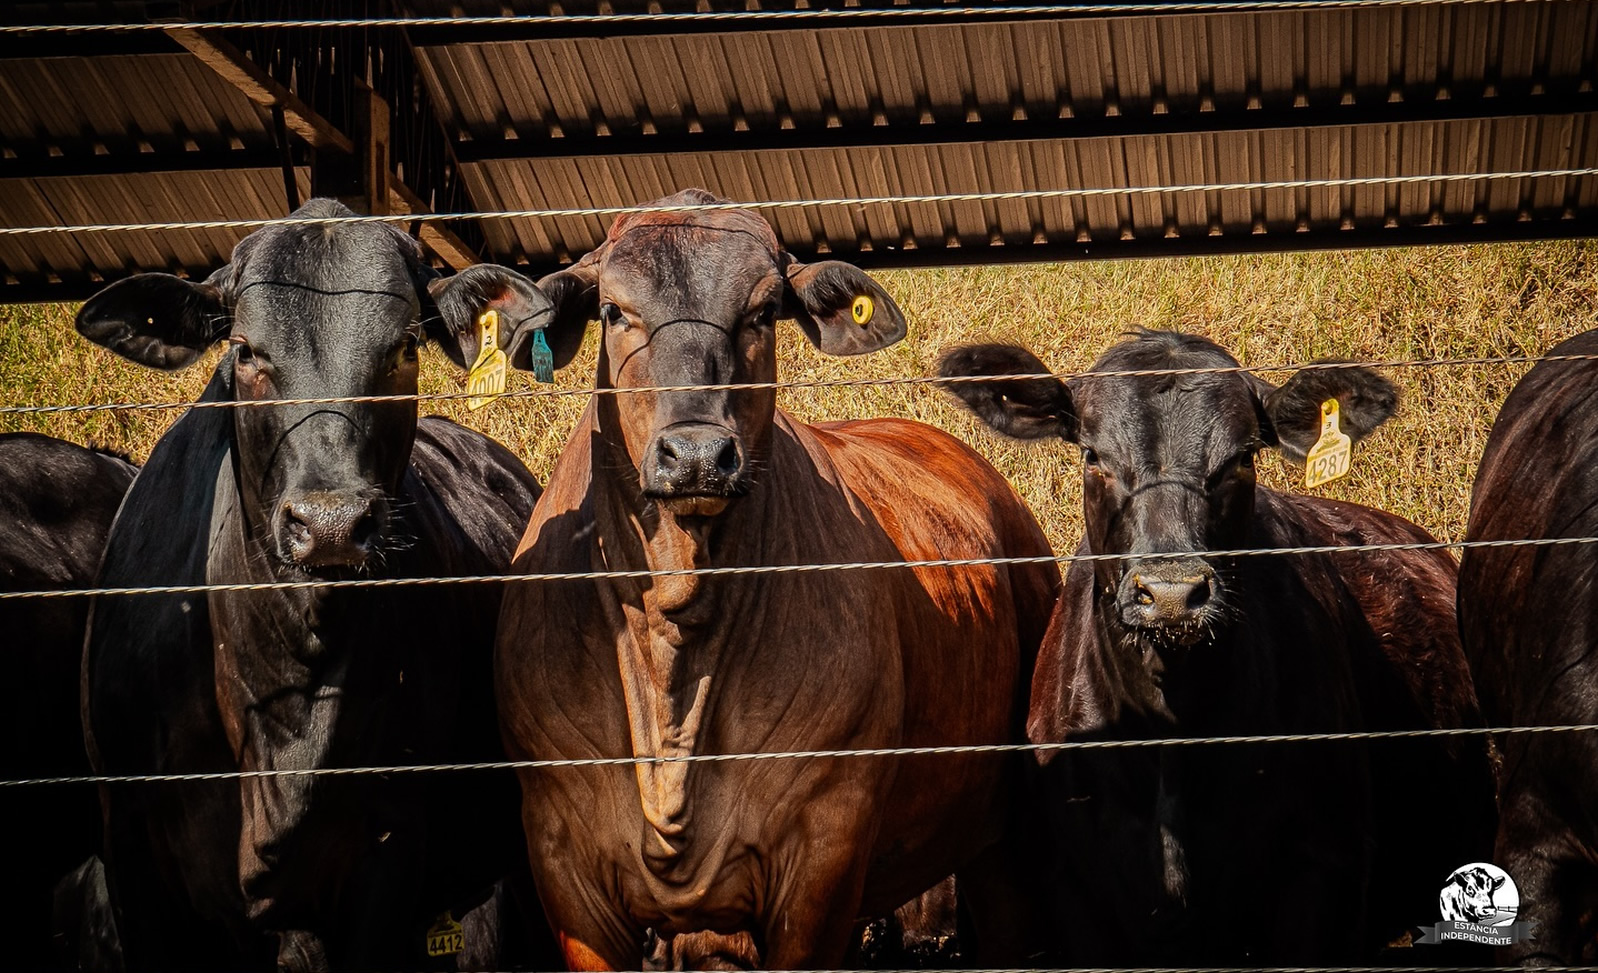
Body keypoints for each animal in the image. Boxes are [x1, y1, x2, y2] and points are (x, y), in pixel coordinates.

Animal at [485, 187, 1061, 965]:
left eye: (762, 311)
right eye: (612, 310)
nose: (697, 456)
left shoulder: (823, 859)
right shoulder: (565, 870)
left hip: (1003, 848)